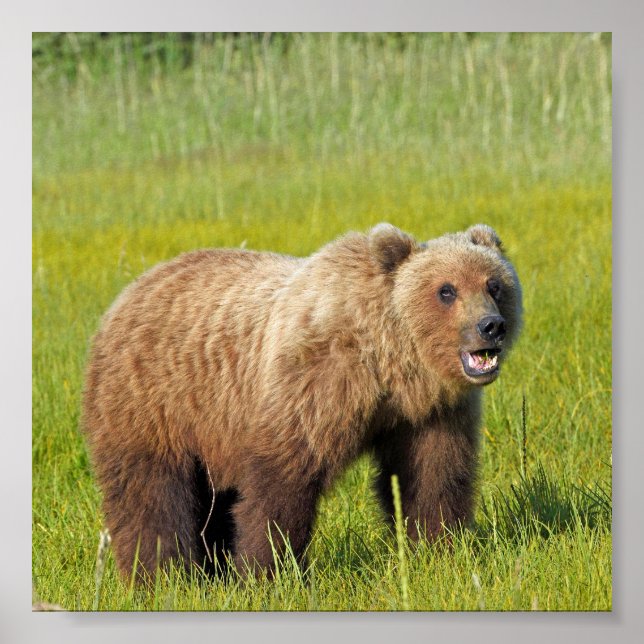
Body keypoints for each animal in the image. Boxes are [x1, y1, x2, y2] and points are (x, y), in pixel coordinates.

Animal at [82, 222, 522, 581]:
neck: (390, 364)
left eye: (494, 285)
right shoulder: (313, 384)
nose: (491, 326)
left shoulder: (432, 412)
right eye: (446, 290)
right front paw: (270, 572)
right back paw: (160, 576)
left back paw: (211, 570)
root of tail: (128, 293)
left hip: (214, 428)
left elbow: (433, 476)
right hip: (153, 402)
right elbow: (282, 480)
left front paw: (440, 549)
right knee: (150, 494)